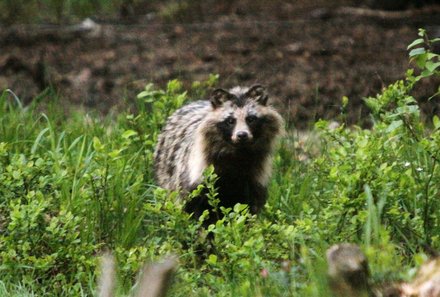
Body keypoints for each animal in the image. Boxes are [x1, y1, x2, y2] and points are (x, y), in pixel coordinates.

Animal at [155, 85, 284, 220]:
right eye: (230, 121)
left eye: (251, 119)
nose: (242, 135)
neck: (239, 153)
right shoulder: (199, 176)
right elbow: (196, 208)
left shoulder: (254, 177)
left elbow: (248, 207)